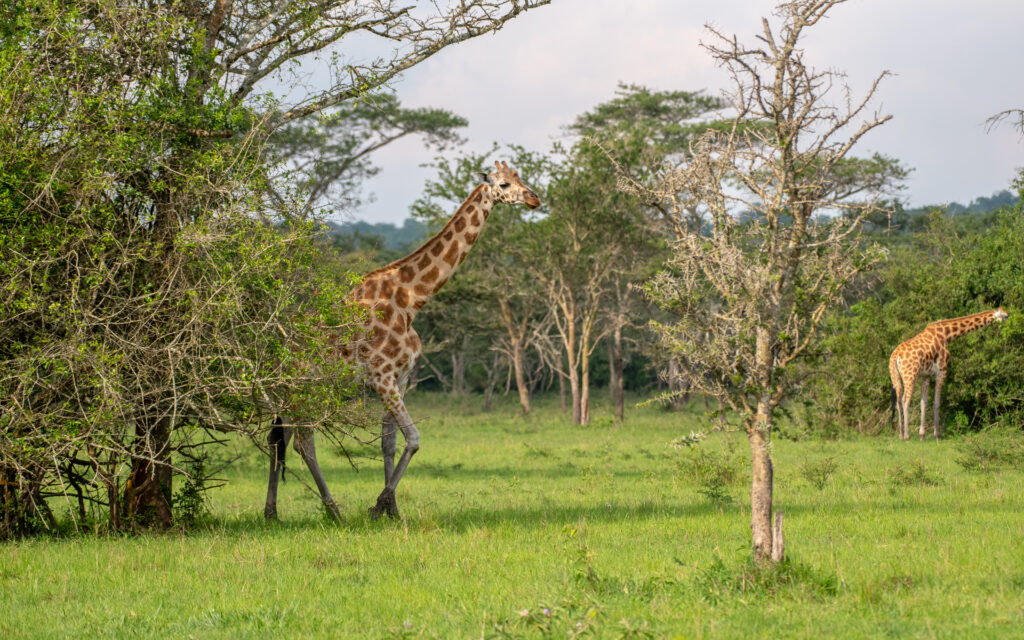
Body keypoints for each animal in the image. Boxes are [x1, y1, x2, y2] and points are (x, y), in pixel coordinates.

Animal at [262, 159, 544, 520]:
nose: (534, 199)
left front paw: (392, 510)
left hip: (285, 395)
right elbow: (413, 438)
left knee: (277, 441)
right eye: (504, 184)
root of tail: (274, 351)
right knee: (303, 443)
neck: (412, 300)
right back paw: (333, 510)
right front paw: (378, 505)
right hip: (303, 391)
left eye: (520, 177)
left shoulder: (401, 378)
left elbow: (390, 442)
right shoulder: (382, 377)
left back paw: (272, 512)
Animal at [888, 305, 1007, 438]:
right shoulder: (942, 372)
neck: (947, 334)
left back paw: (900, 435)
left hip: (895, 376)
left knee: (898, 401)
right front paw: (937, 435)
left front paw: (922, 435)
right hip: (910, 375)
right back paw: (907, 436)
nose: (1006, 323)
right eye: (1005, 316)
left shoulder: (926, 375)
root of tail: (895, 357)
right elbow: (937, 403)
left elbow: (924, 403)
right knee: (905, 400)